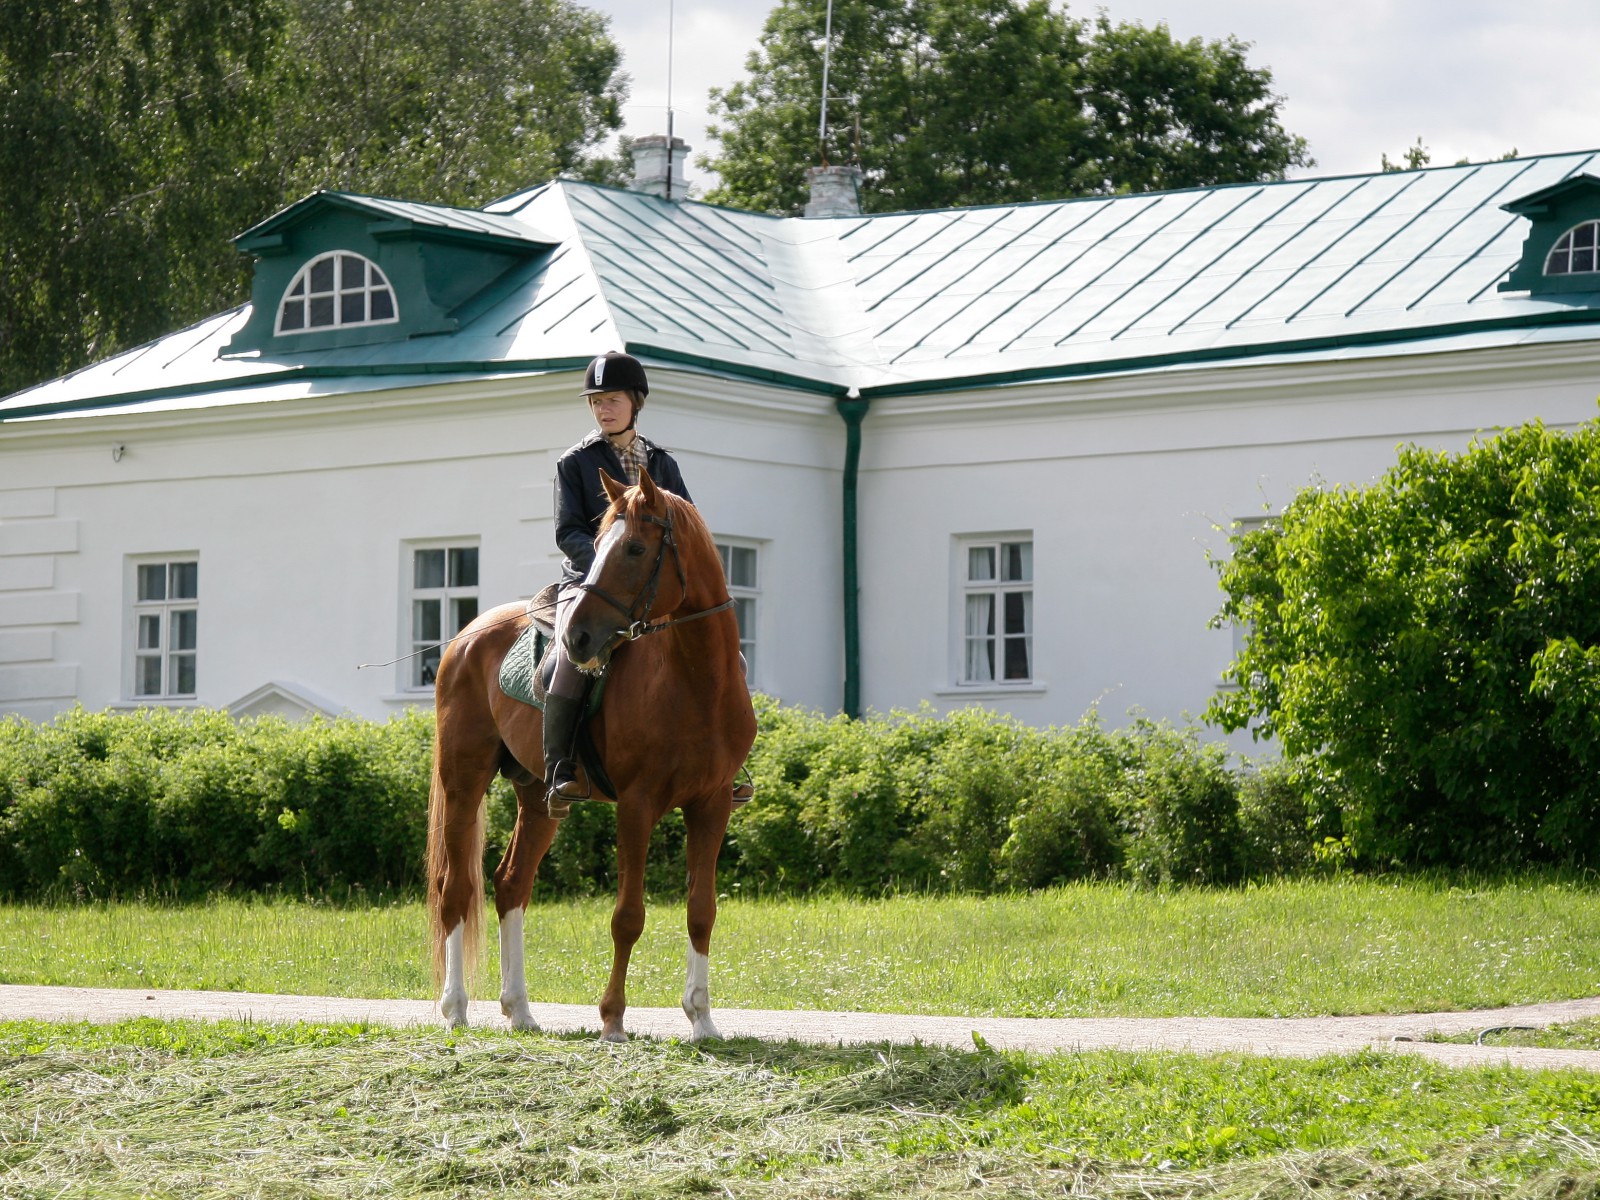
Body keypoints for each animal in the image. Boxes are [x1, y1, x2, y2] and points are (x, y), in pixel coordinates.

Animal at [422, 470, 752, 1043]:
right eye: (597, 546)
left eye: (636, 547)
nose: (577, 637)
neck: (697, 682)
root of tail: (465, 637)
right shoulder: (637, 806)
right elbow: (628, 916)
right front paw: (613, 1019)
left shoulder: (711, 806)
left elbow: (701, 911)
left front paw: (702, 1018)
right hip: (463, 781)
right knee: (456, 888)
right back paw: (456, 1008)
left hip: (538, 797)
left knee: (511, 884)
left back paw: (520, 1010)